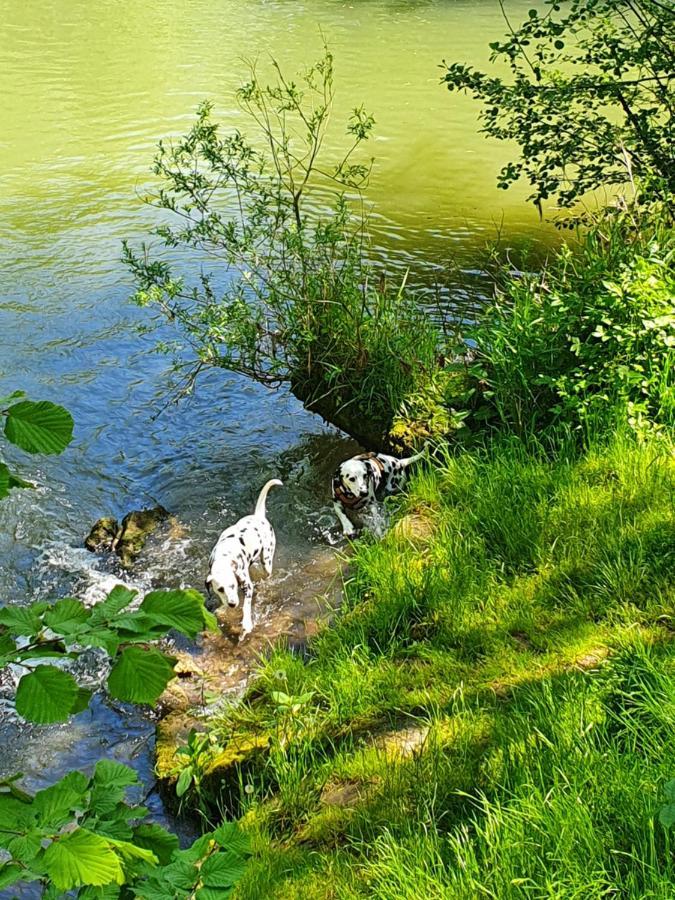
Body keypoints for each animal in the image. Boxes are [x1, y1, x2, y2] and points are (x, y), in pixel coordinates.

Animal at [205, 478, 282, 640]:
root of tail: (258, 516)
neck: (224, 557)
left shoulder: (247, 586)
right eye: (220, 589)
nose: (233, 604)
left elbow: (246, 607)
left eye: (233, 585)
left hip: (267, 560)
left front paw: (247, 624)